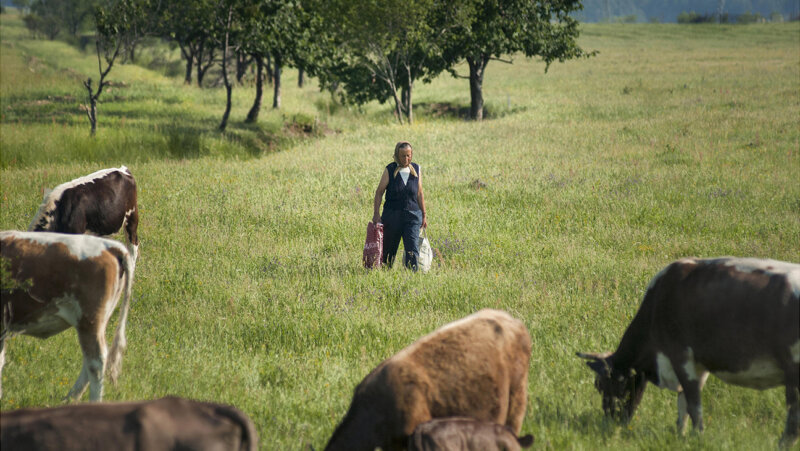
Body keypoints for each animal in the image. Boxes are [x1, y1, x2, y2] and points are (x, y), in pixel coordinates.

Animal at [580, 258, 796, 448]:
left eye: (601, 385)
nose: (610, 422)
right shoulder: (697, 366)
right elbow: (683, 404)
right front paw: (680, 435)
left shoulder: (681, 356)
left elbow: (693, 403)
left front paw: (697, 437)